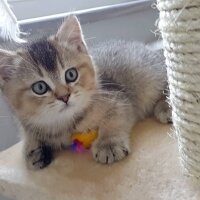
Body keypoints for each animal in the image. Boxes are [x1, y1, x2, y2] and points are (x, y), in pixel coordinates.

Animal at [0, 15, 170, 170]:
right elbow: (29, 137)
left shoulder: (119, 99)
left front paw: (108, 144)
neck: (63, 124)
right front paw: (34, 151)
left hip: (150, 77)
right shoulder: (26, 122)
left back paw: (166, 108)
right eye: (40, 88)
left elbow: (114, 120)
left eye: (71, 74)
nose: (64, 96)